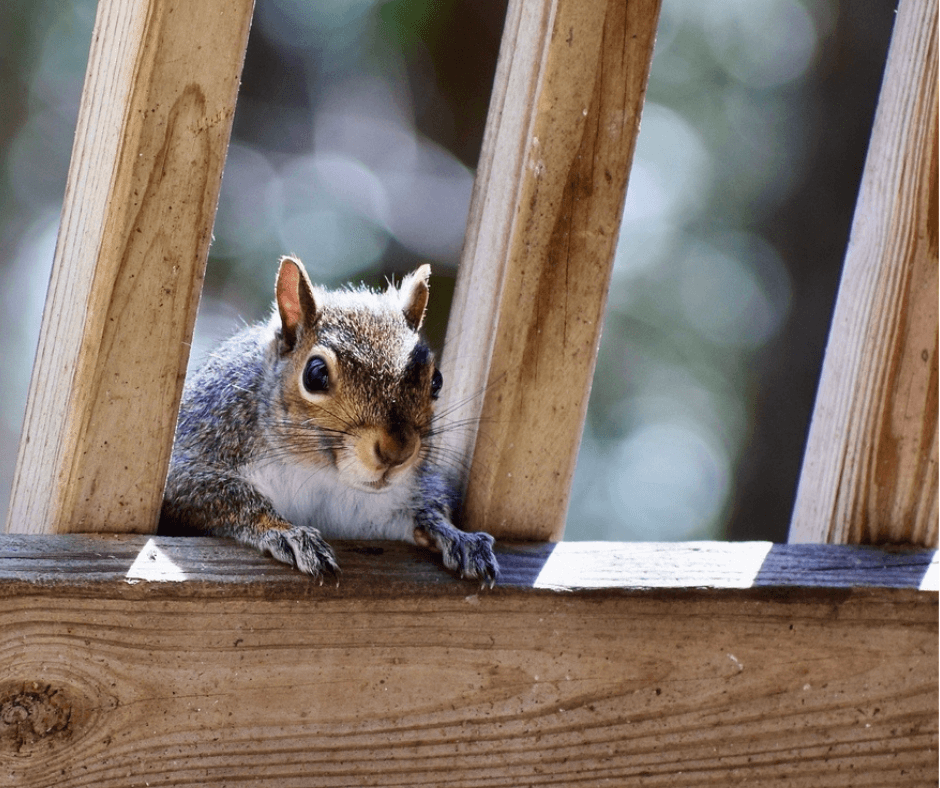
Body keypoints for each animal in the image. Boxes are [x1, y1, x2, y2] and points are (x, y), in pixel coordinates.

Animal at [160, 256, 499, 585]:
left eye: (436, 381)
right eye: (315, 374)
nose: (397, 452)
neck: (322, 473)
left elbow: (423, 510)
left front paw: (455, 535)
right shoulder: (204, 443)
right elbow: (217, 493)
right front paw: (285, 531)